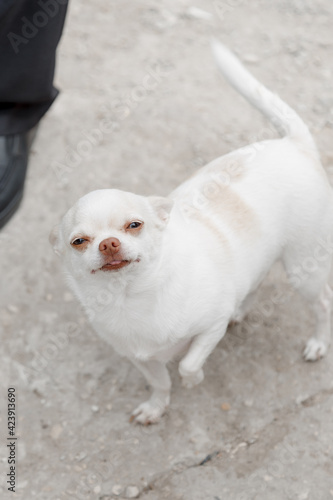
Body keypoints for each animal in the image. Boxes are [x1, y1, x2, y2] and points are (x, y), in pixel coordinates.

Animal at [50, 43, 332, 424]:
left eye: (134, 225)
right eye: (79, 242)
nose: (109, 243)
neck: (131, 297)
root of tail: (293, 144)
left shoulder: (211, 327)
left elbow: (187, 363)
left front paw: (195, 379)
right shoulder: (140, 358)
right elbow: (160, 382)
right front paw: (156, 408)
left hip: (304, 270)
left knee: (322, 303)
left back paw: (318, 343)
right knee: (254, 281)